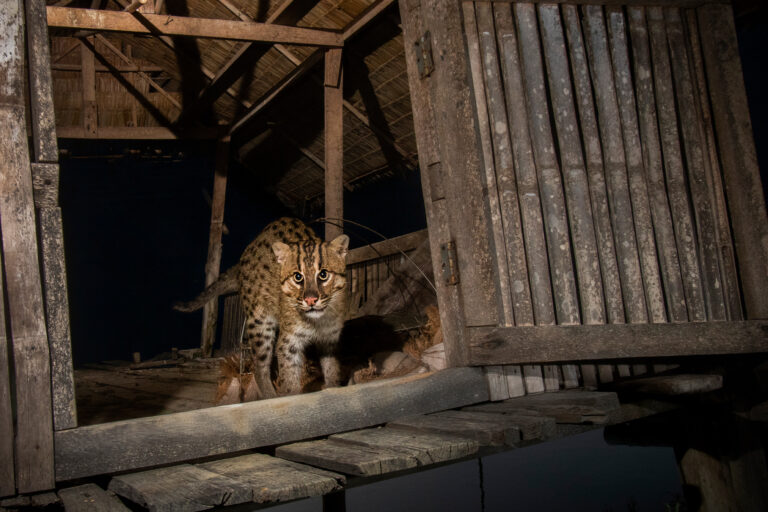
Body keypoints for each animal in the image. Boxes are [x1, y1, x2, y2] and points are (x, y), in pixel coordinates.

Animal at [173, 218, 348, 398]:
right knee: (259, 367)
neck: (318, 321)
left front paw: (333, 388)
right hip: (259, 322)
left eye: (324, 274)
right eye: (298, 277)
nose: (311, 300)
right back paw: (270, 395)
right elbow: (289, 379)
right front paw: (291, 396)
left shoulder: (330, 340)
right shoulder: (289, 343)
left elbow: (332, 369)